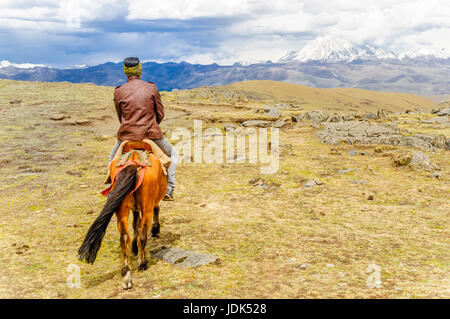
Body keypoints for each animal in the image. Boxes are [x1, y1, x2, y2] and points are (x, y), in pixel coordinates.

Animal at [78, 144, 168, 292]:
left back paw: (126, 277)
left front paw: (134, 247)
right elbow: (151, 214)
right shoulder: (147, 206)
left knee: (124, 238)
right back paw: (142, 264)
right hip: (146, 208)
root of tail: (133, 162)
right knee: (143, 236)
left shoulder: (134, 208)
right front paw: (155, 229)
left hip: (121, 211)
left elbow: (135, 224)